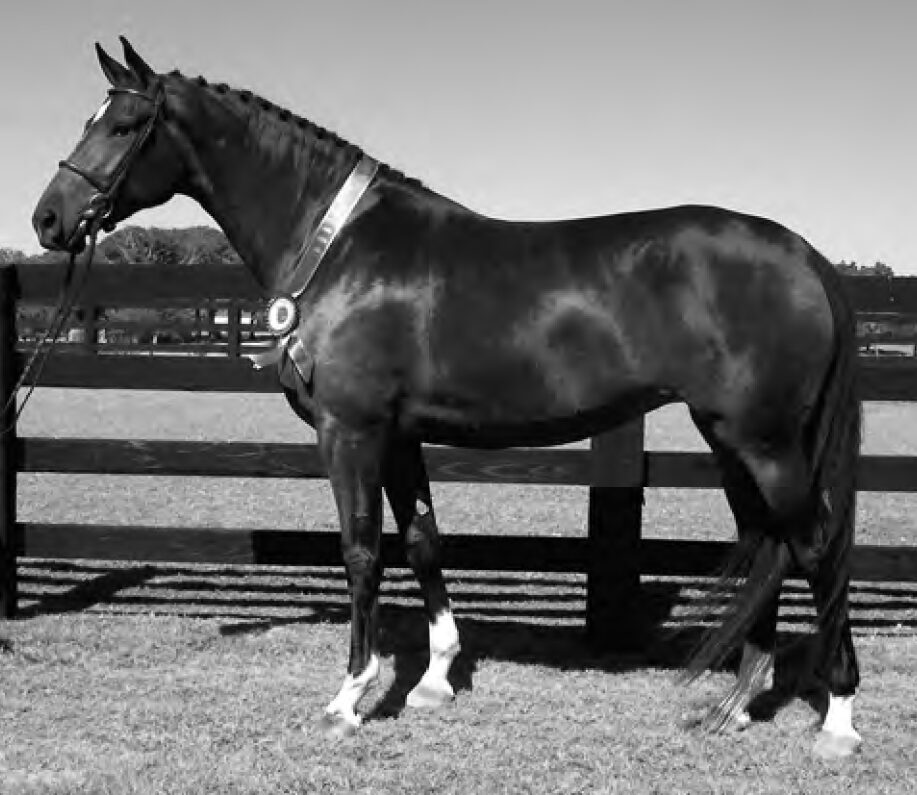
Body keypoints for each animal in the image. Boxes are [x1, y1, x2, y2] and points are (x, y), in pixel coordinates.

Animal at [32, 38, 862, 758]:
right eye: (90, 120)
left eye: (125, 125)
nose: (48, 218)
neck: (340, 246)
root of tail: (807, 256)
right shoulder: (400, 435)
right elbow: (423, 539)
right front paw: (433, 678)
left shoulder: (351, 430)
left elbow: (362, 549)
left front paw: (350, 696)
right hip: (730, 439)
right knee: (768, 544)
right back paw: (737, 702)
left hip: (763, 442)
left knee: (815, 547)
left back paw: (838, 719)